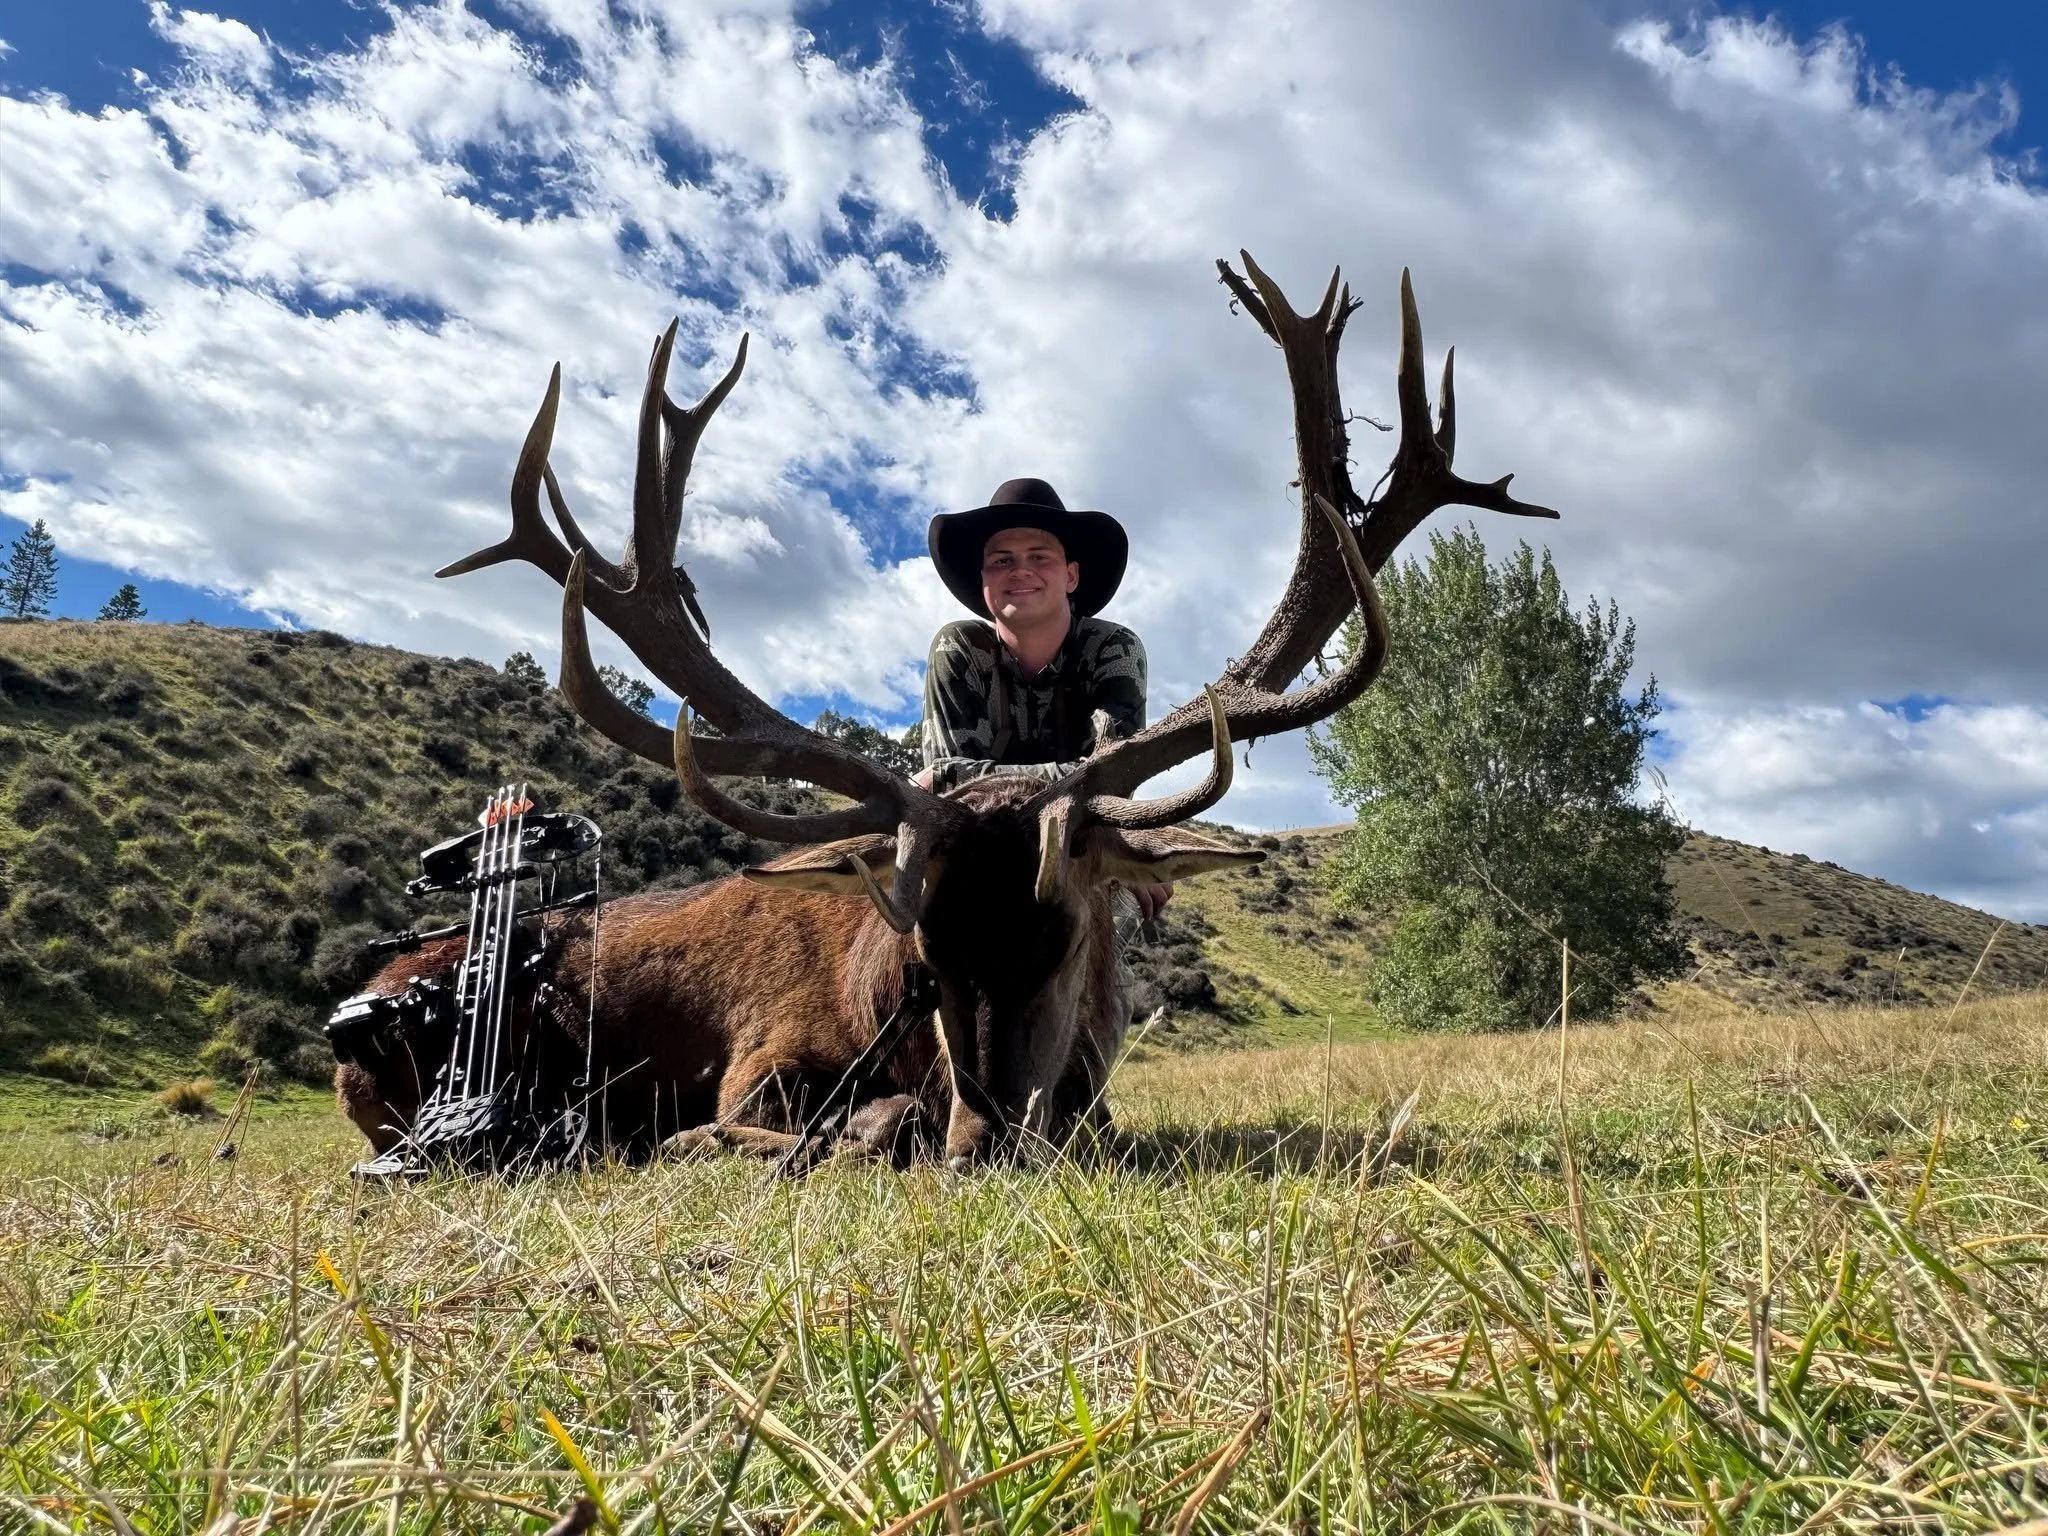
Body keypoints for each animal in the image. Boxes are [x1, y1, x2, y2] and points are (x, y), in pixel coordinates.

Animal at [332, 253, 1557, 1170]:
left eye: (1071, 934)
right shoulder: (756, 1061)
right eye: (923, 951)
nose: (988, 1138)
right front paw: (853, 1131)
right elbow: (783, 1127)